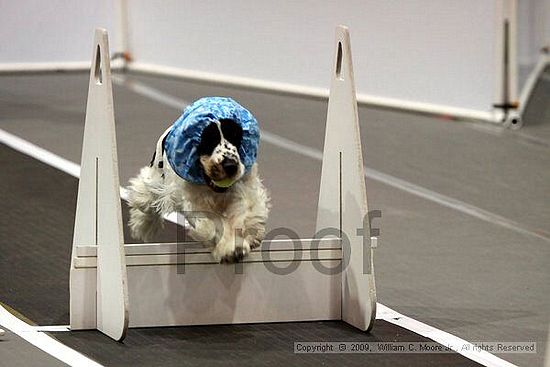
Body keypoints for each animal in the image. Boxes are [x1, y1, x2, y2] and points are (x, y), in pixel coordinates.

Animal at [125, 98, 272, 264]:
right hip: (156, 176)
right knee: (146, 198)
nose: (230, 166)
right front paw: (230, 249)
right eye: (209, 139)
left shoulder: (243, 188)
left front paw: (237, 245)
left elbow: (243, 212)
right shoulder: (195, 201)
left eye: (235, 135)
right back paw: (142, 224)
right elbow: (215, 223)